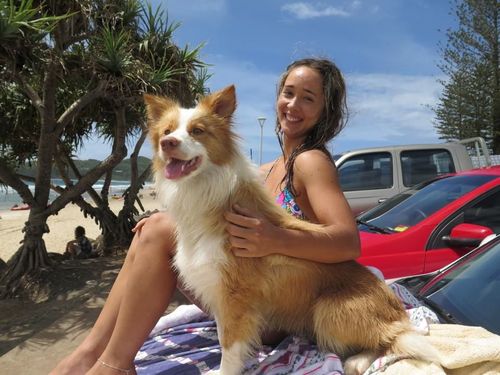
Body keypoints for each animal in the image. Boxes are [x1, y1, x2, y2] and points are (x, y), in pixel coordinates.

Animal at [144, 86, 438, 375]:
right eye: (167, 131)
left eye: (197, 131)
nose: (167, 143)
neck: (206, 193)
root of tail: (397, 313)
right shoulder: (218, 292)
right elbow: (222, 336)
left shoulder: (236, 298)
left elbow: (229, 348)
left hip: (329, 310)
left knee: (390, 341)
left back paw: (356, 361)